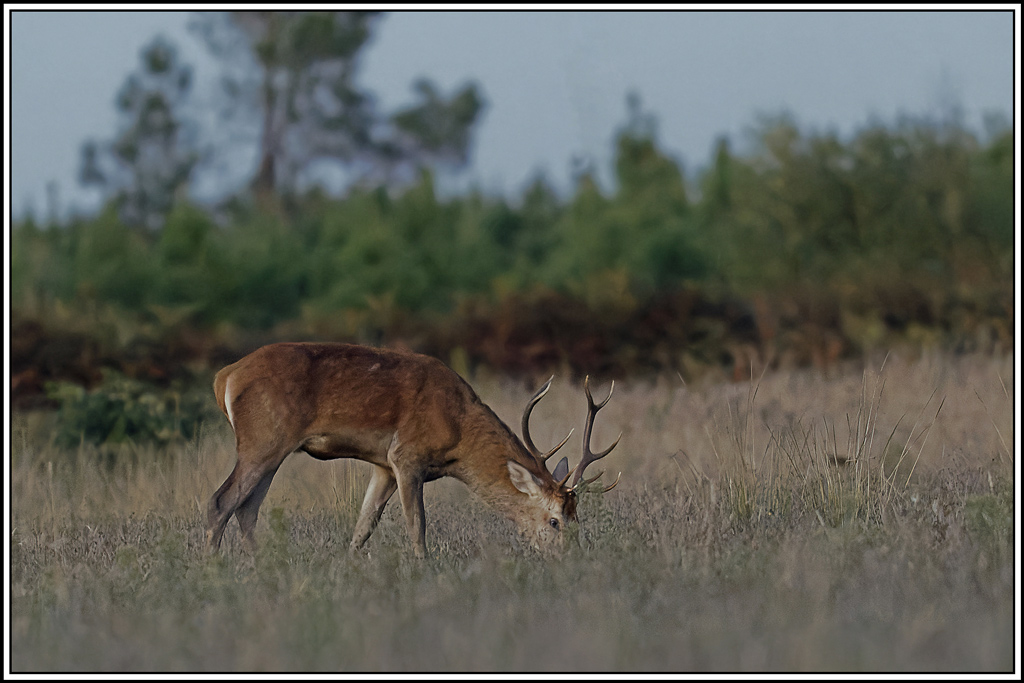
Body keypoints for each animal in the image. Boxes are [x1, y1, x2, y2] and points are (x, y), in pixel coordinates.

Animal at [205, 342, 620, 558]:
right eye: (554, 521)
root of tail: (224, 377)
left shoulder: (383, 466)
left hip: (273, 450)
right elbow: (417, 525)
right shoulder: (406, 456)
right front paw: (424, 572)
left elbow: (364, 524)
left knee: (247, 508)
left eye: (577, 516)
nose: (572, 558)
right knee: (221, 501)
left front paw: (346, 568)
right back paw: (213, 569)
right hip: (264, 439)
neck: (458, 431)